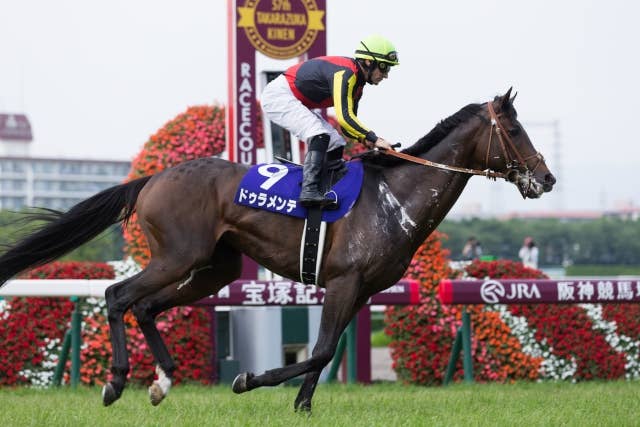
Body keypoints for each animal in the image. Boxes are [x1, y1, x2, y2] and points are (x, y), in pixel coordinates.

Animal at [0, 89, 555, 411]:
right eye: (514, 129)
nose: (547, 178)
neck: (394, 195)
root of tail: (153, 178)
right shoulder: (344, 281)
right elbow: (322, 349)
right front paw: (249, 380)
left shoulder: (362, 291)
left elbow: (323, 352)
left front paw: (302, 406)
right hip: (177, 256)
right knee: (119, 296)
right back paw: (116, 383)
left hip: (214, 269)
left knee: (148, 306)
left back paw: (163, 383)